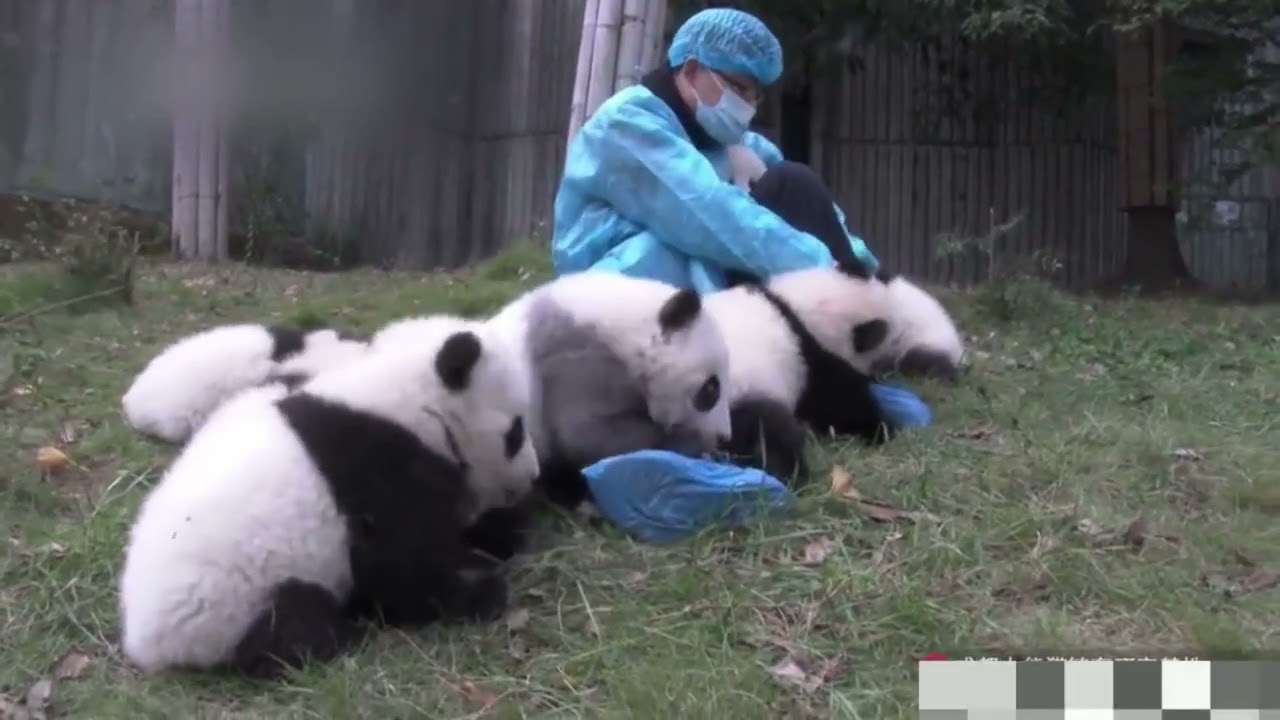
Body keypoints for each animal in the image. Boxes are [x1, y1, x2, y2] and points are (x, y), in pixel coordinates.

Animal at [706, 263, 899, 482]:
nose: (882, 372)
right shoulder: (811, 362)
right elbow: (842, 404)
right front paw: (883, 429)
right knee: (768, 433)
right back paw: (791, 474)